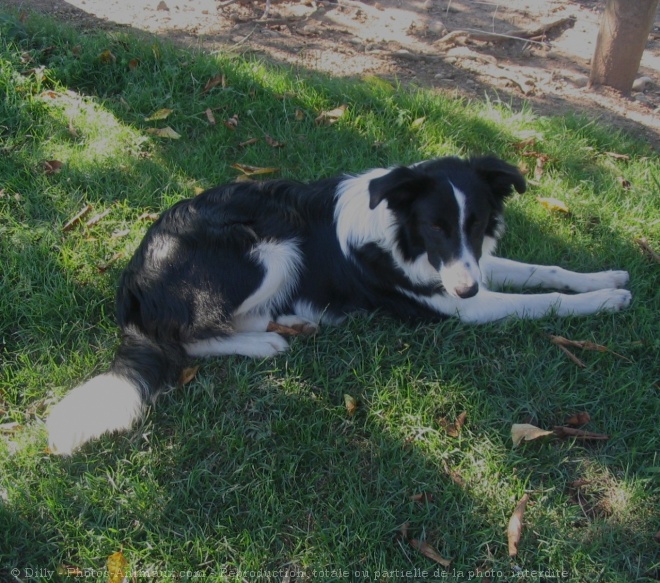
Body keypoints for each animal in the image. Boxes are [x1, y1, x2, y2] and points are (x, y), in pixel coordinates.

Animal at [43, 156, 632, 456]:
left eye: (475, 223)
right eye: (434, 226)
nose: (465, 287)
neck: (396, 228)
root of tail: (132, 283)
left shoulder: (470, 268)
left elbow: (546, 272)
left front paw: (608, 278)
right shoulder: (457, 307)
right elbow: (543, 301)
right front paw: (606, 301)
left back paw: (291, 321)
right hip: (271, 247)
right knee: (187, 339)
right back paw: (265, 342)